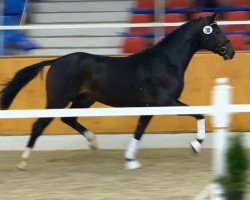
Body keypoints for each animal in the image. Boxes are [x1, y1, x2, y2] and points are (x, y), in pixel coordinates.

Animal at [0, 13, 234, 170]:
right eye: (216, 30)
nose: (230, 52)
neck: (166, 62)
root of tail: (56, 61)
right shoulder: (166, 101)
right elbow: (199, 113)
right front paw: (195, 145)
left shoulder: (150, 106)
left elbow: (139, 130)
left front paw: (130, 160)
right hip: (58, 100)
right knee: (39, 125)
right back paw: (23, 161)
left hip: (84, 100)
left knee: (69, 119)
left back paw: (94, 142)